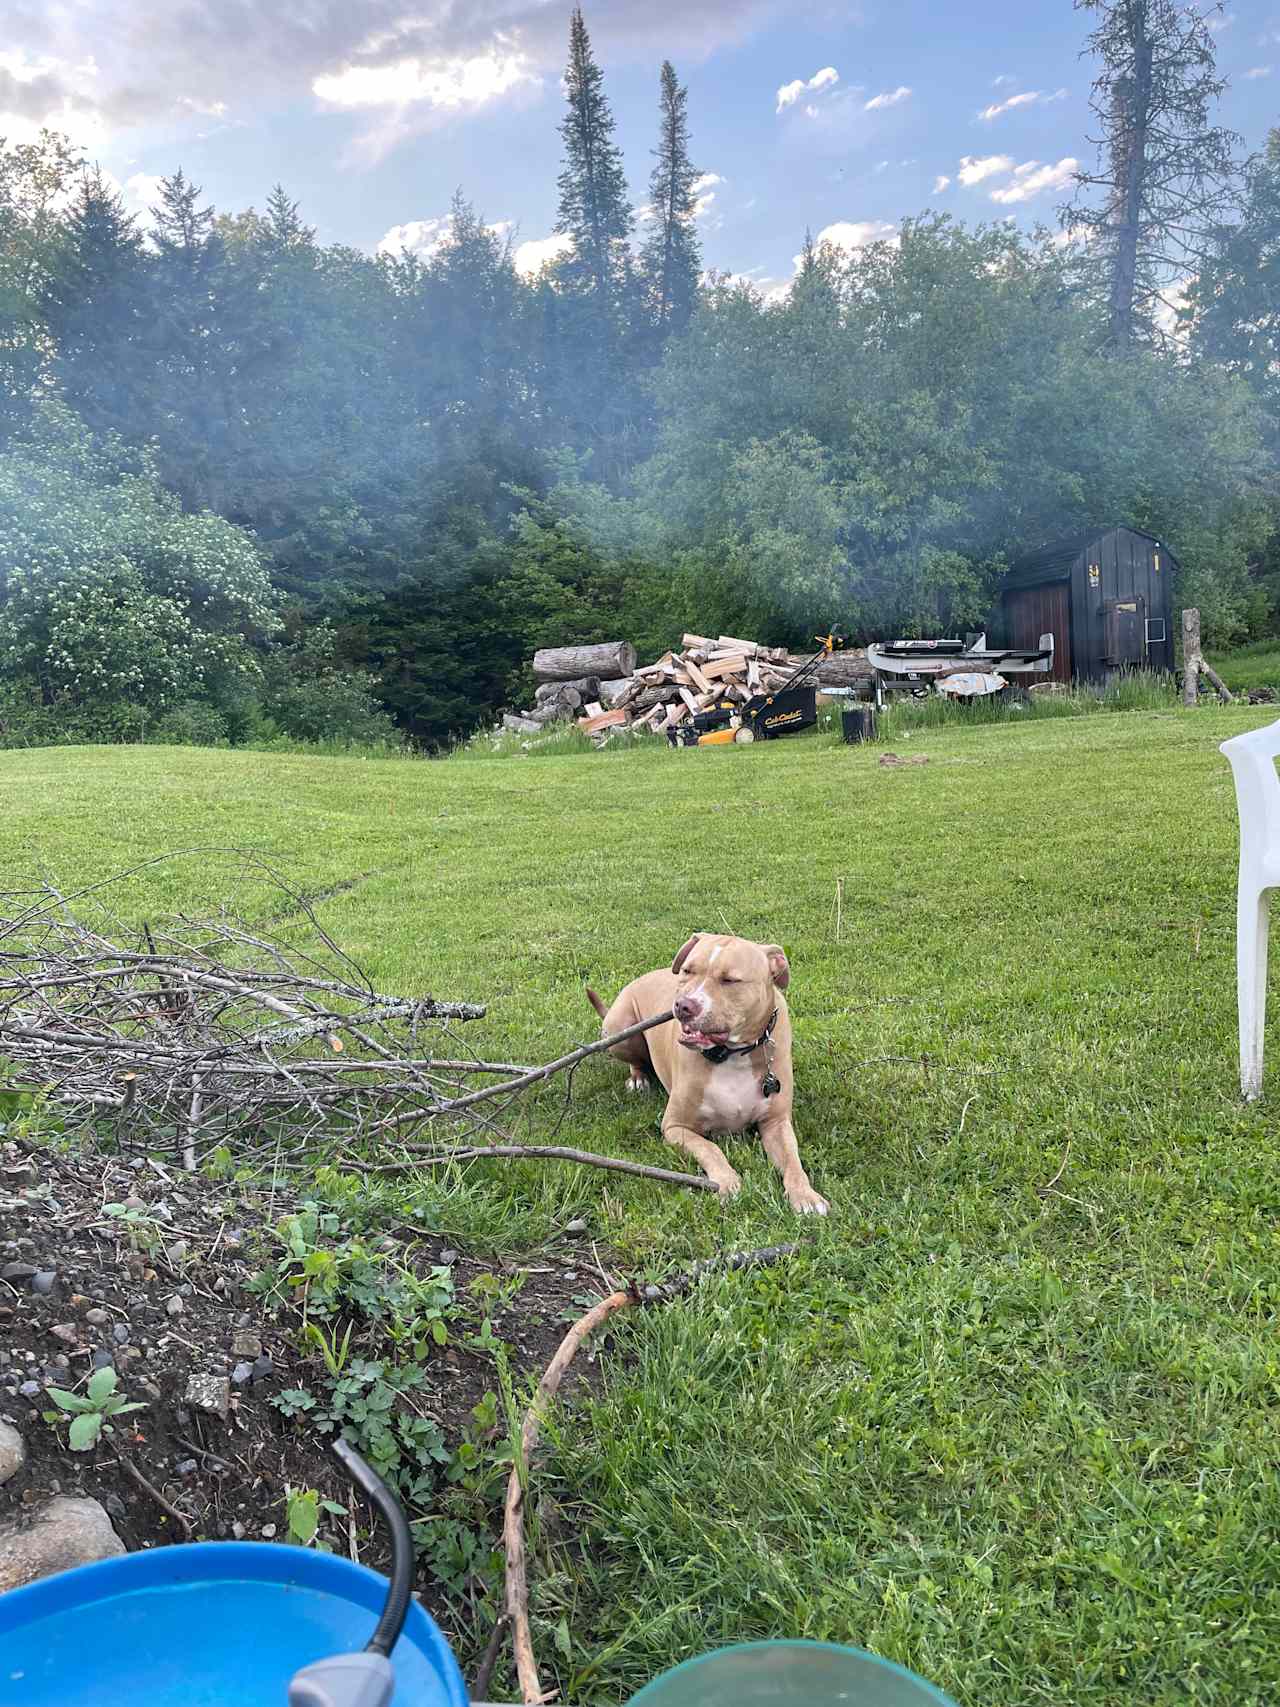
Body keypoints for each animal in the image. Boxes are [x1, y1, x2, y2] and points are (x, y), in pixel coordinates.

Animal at [583, 935, 826, 1215]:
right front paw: (727, 1182)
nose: (684, 1005)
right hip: (619, 1028)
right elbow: (710, 1149)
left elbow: (792, 1160)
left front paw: (805, 1195)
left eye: (730, 980)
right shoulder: (675, 1127)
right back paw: (638, 1078)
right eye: (688, 970)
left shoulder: (776, 1122)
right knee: (634, 1059)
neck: (732, 1055)